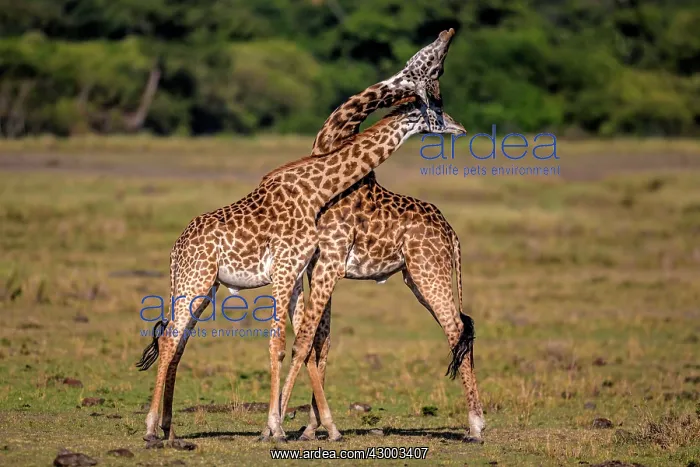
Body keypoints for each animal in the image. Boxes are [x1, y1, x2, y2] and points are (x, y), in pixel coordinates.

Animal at [134, 31, 461, 442]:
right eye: (437, 89)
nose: (460, 128)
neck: (316, 190)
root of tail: (176, 249)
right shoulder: (289, 268)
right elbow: (284, 343)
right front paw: (277, 428)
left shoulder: (299, 270)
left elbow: (302, 342)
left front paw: (293, 426)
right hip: (197, 280)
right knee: (170, 338)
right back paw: (152, 429)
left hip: (203, 285)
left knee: (176, 341)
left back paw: (168, 429)